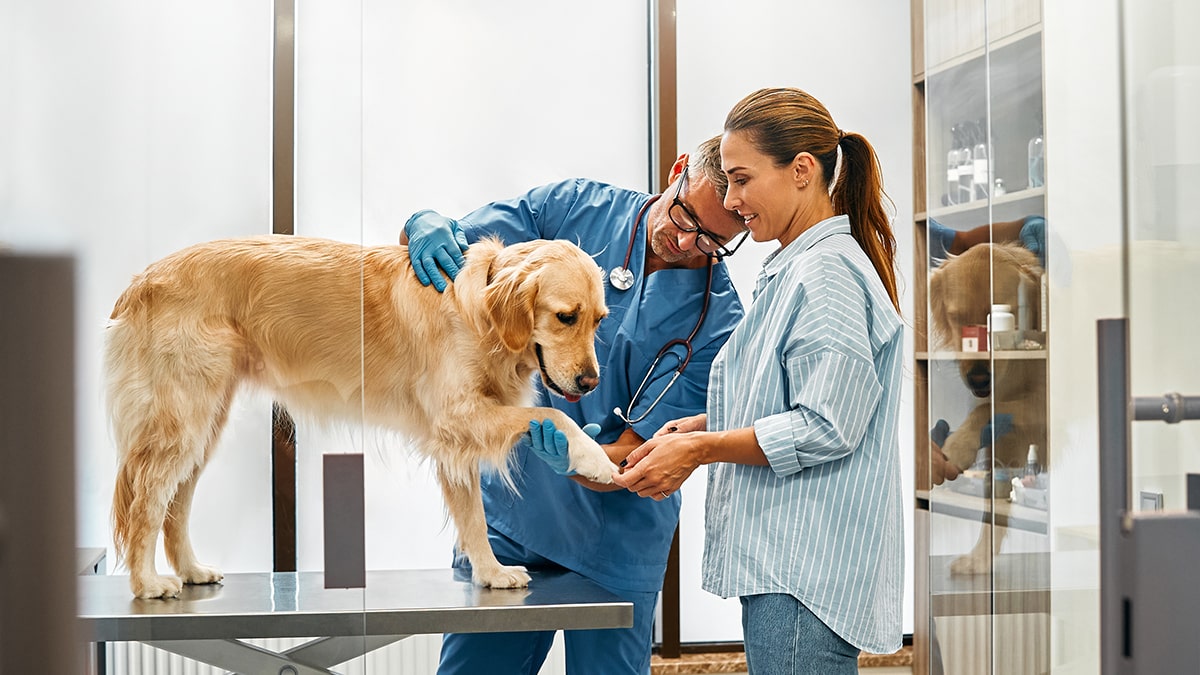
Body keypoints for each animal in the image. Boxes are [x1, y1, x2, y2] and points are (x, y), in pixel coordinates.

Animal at [103, 234, 619, 595]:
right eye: (565, 316)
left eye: (598, 320)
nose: (591, 382)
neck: (481, 316)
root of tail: (140, 282)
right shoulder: (457, 418)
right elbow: (557, 418)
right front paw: (595, 458)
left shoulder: (456, 440)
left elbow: (473, 517)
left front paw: (490, 573)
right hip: (180, 424)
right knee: (147, 502)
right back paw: (147, 583)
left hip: (204, 427)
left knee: (176, 505)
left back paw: (190, 570)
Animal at [921, 241, 1046, 571]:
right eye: (956, 318)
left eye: (997, 318)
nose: (978, 378)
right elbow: (994, 509)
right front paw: (979, 559)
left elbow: (982, 411)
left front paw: (958, 444)